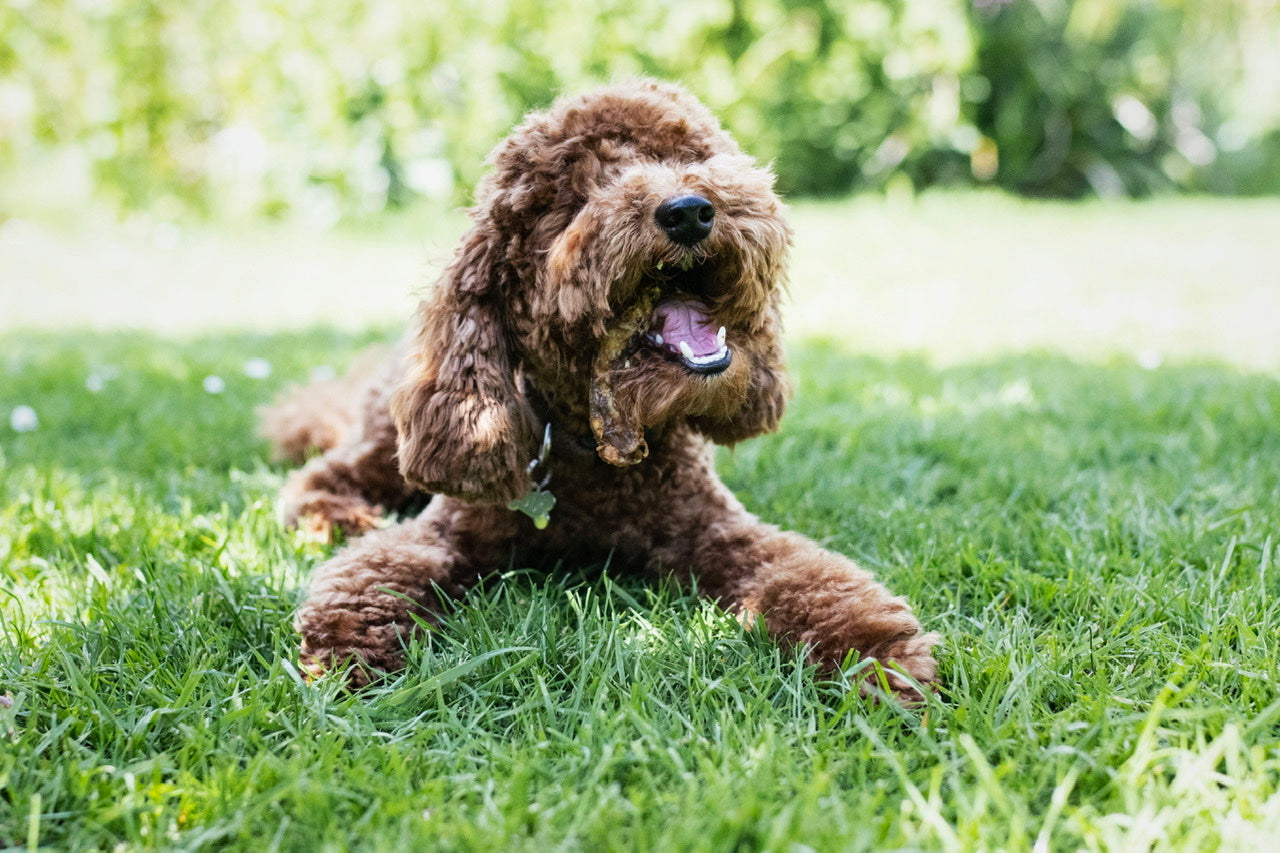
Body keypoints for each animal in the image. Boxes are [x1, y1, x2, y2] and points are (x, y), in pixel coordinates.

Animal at [262, 79, 942, 696]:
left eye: (688, 158)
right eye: (577, 196)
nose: (689, 211)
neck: (596, 453)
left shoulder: (721, 532)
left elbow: (811, 578)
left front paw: (875, 655)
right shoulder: (444, 533)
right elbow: (374, 573)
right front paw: (348, 651)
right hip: (388, 438)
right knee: (321, 478)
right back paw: (339, 516)